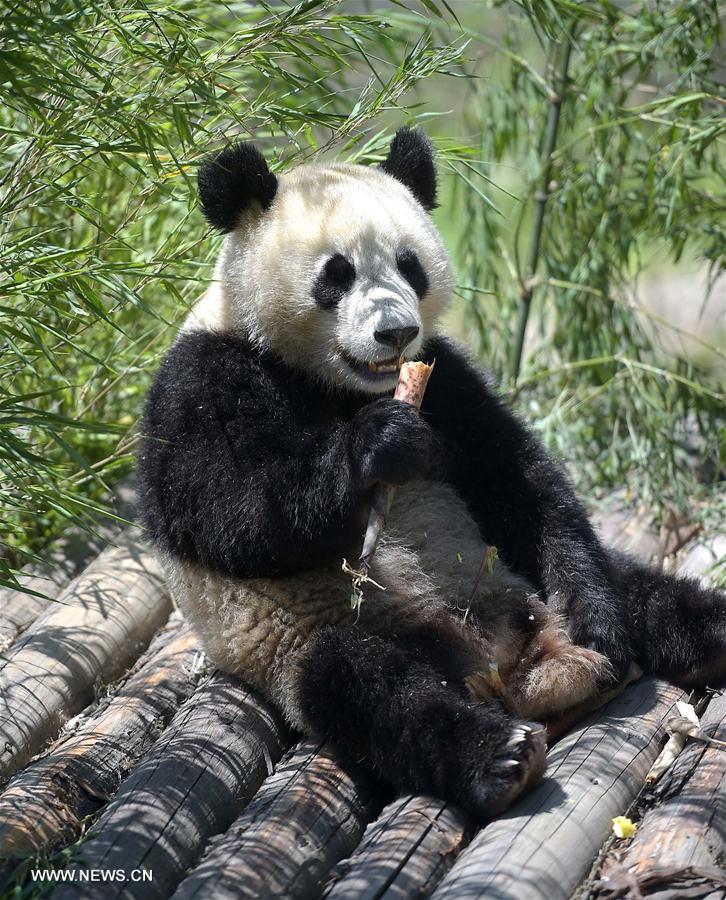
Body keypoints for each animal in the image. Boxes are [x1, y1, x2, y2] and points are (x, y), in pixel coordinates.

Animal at [139, 128, 726, 824]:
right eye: (337, 274)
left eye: (409, 265)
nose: (395, 331)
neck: (341, 387)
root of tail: (515, 667)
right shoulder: (202, 377)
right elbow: (230, 513)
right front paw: (379, 448)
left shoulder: (446, 378)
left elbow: (519, 482)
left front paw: (599, 623)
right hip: (318, 635)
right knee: (374, 690)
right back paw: (499, 758)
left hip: (512, 571)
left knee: (639, 590)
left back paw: (688, 634)